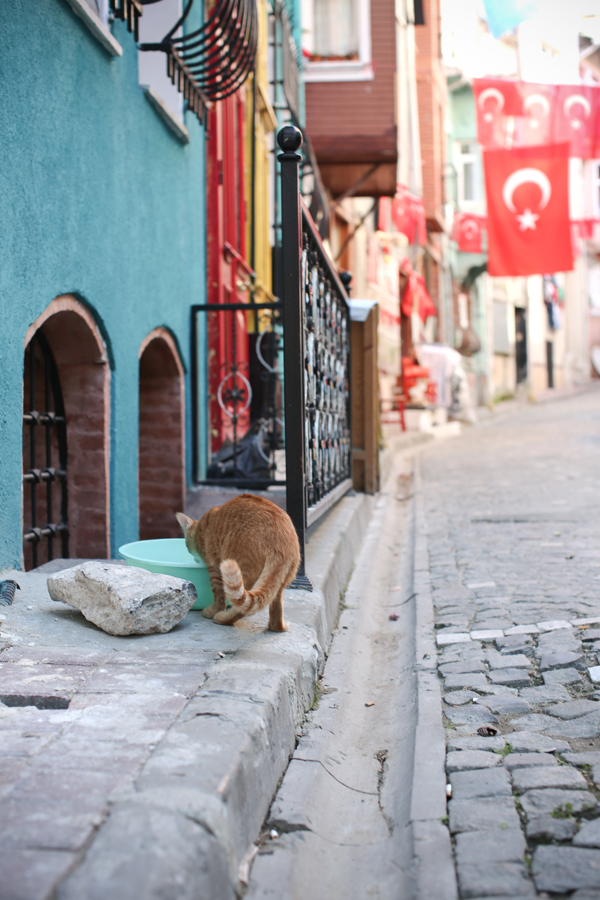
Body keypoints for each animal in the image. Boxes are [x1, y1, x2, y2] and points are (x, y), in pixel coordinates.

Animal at [177, 492, 300, 632]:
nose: (194, 559)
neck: (202, 528)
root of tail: (281, 543)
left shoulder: (214, 567)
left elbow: (218, 596)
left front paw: (213, 611)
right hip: (279, 582)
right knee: (274, 608)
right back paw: (278, 627)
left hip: (239, 572)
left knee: (241, 608)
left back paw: (222, 618)